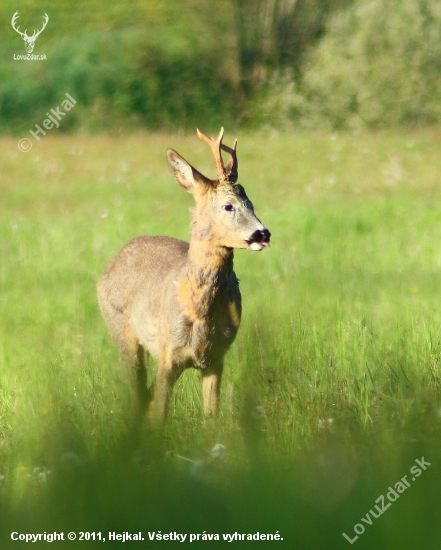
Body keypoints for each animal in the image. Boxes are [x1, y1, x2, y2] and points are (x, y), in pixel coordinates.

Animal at [97, 129, 270, 422]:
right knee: (139, 394)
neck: (199, 310)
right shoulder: (168, 353)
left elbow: (211, 414)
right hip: (120, 328)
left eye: (251, 204)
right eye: (228, 206)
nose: (263, 233)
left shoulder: (217, 357)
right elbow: (160, 413)